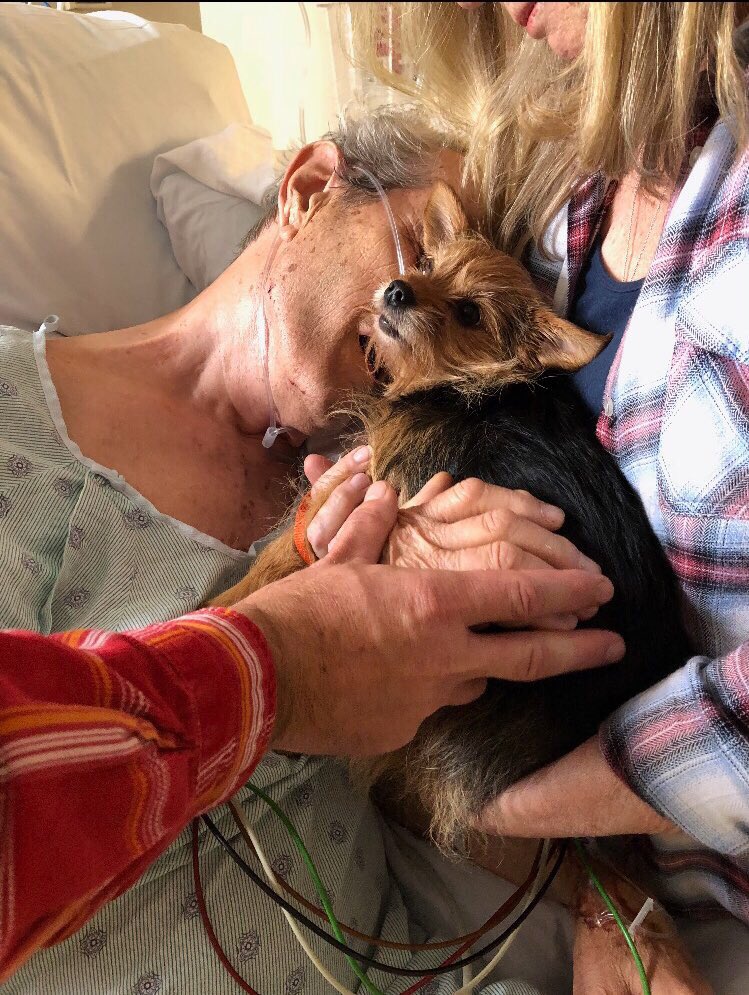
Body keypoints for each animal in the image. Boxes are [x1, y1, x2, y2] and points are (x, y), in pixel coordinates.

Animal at [210, 181, 688, 848]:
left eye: (468, 314)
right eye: (427, 264)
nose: (396, 289)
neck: (461, 387)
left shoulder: (367, 483)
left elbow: (281, 556)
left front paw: (223, 608)